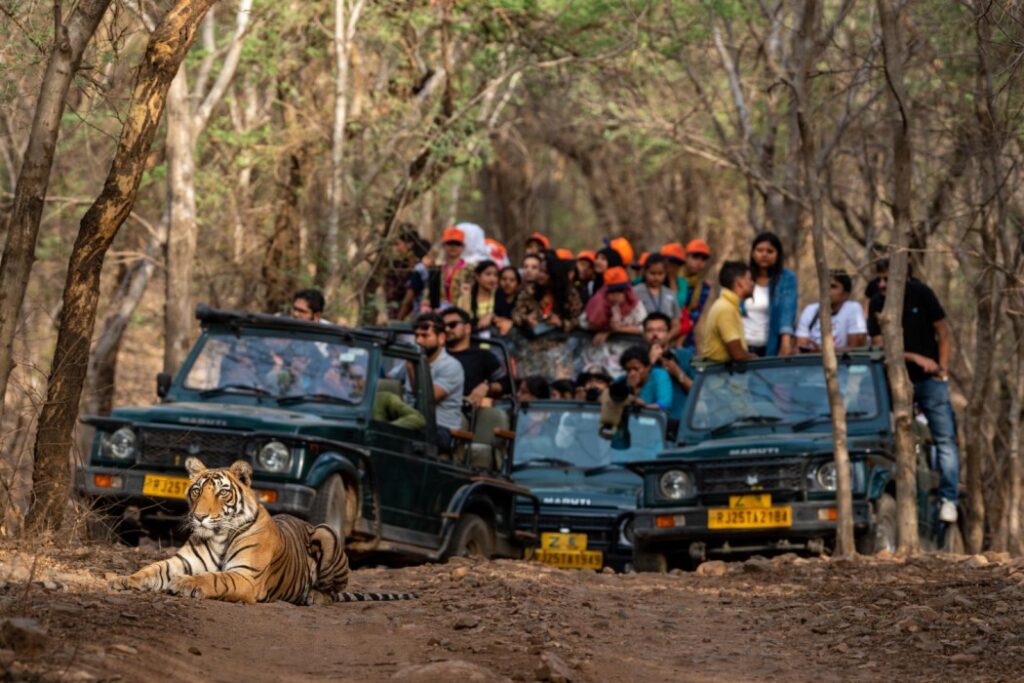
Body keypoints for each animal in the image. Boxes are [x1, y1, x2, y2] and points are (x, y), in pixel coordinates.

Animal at [110, 456, 413, 606]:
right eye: (196, 491)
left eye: (221, 492)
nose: (199, 517)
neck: (219, 535)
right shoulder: (181, 561)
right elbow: (152, 569)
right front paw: (122, 579)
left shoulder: (246, 576)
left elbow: (215, 578)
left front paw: (186, 584)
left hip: (326, 532)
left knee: (334, 591)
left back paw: (314, 597)